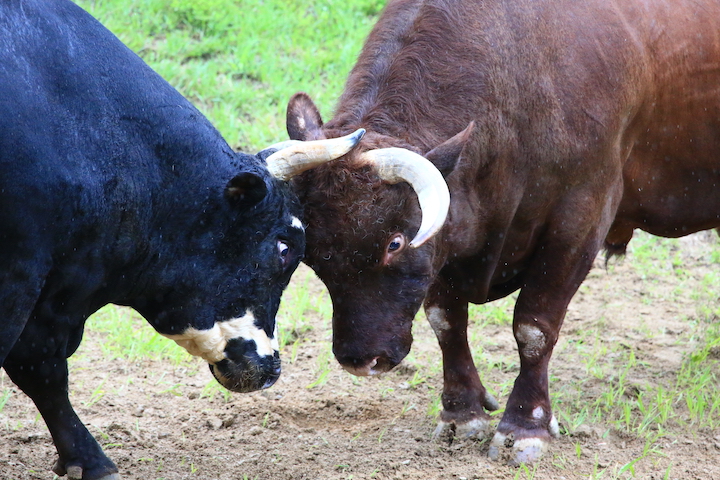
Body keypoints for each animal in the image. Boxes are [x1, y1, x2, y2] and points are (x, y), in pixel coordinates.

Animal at [282, 0, 720, 464]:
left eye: (394, 242)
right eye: (314, 255)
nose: (360, 359)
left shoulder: (580, 221)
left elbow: (533, 328)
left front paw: (526, 426)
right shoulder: (447, 245)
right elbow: (446, 322)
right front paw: (461, 413)